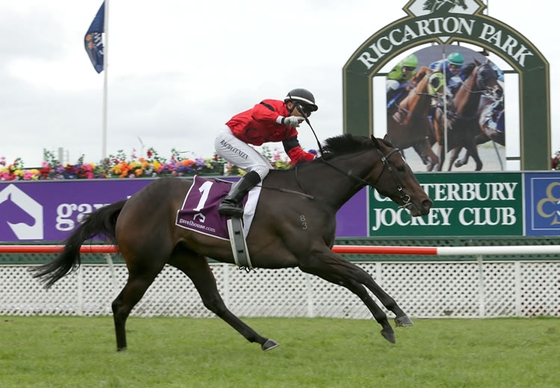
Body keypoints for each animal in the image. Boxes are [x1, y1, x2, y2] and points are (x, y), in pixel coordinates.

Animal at [31, 136, 434, 352]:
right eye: (400, 168)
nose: (425, 202)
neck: (311, 193)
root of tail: (129, 201)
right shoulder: (310, 256)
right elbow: (362, 275)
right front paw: (397, 314)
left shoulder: (317, 259)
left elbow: (355, 281)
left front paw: (385, 323)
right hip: (147, 263)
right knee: (120, 304)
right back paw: (122, 350)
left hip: (188, 257)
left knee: (214, 302)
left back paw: (262, 339)